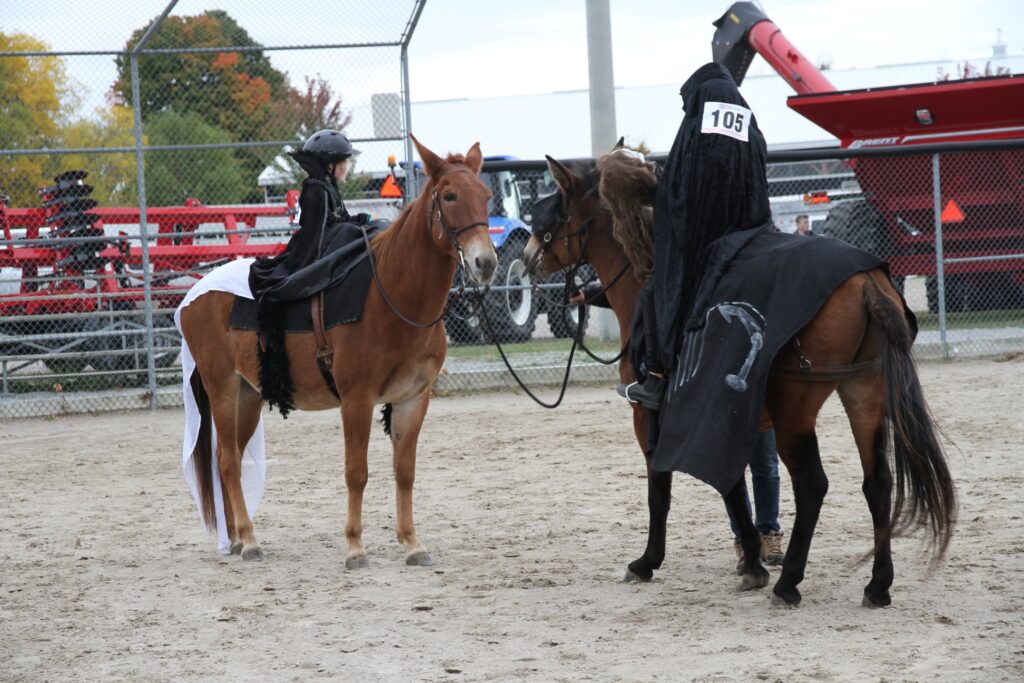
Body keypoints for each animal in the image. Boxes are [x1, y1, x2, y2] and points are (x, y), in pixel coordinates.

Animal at [181, 136, 499, 569]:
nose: (486, 263)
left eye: (486, 195)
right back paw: (249, 540)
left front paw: (412, 543)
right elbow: (357, 472)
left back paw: (234, 539)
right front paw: (355, 547)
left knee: (226, 459)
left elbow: (405, 471)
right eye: (449, 196)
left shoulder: (414, 398)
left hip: (248, 395)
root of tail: (194, 294)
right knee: (229, 462)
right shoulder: (357, 400)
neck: (393, 295)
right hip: (223, 388)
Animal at [524, 149, 954, 610]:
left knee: (812, 485)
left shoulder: (656, 417)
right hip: (864, 394)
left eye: (550, 215)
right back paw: (877, 585)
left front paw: (649, 561)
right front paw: (751, 559)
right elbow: (733, 486)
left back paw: (789, 582)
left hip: (795, 411)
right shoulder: (724, 415)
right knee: (878, 483)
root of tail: (865, 281)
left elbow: (663, 489)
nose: (528, 257)